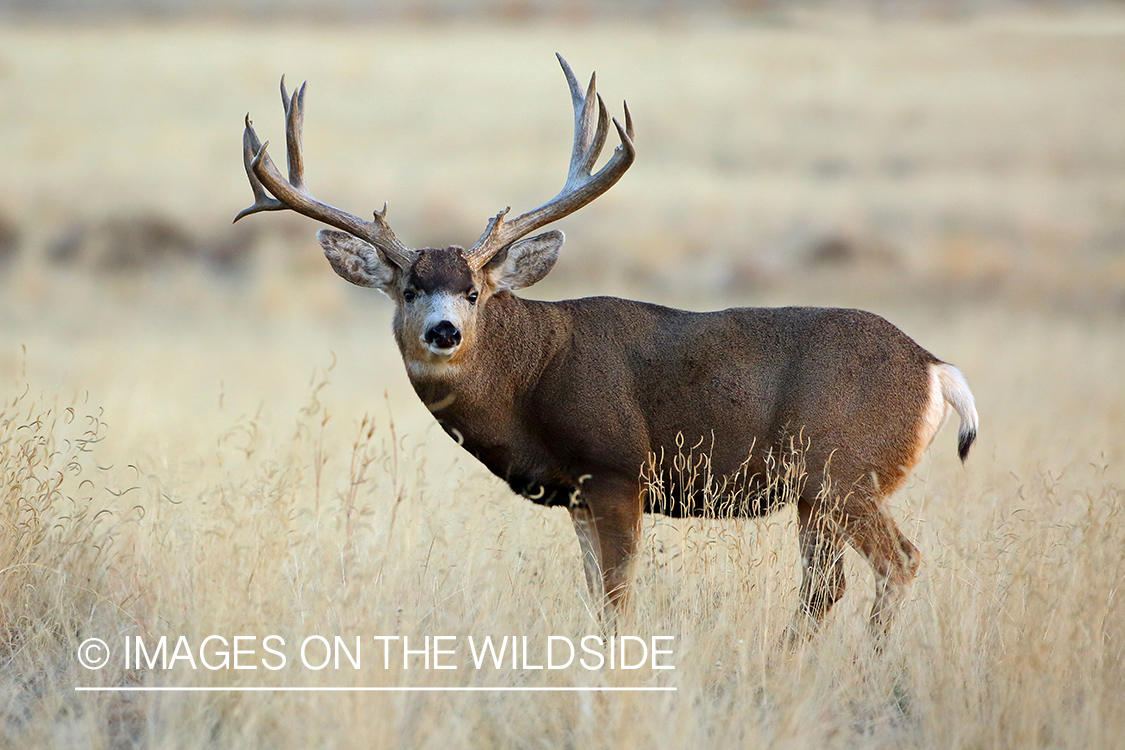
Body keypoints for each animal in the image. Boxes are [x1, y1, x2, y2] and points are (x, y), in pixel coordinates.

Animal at [235, 55, 976, 643]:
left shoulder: (619, 470)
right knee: (852, 577)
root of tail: (935, 369)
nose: (443, 331)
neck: (530, 376)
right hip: (829, 487)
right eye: (410, 288)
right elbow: (595, 597)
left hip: (838, 472)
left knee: (877, 568)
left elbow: (620, 599)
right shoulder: (577, 495)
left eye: (474, 291)